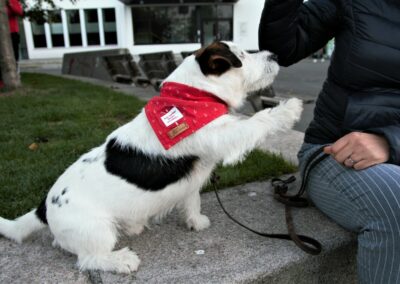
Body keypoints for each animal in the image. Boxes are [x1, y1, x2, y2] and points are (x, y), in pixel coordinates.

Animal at [0, 41, 300, 272]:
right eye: (242, 55)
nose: (275, 55)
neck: (194, 97)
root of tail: (44, 207)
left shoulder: (192, 180)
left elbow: (192, 200)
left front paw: (195, 222)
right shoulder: (227, 136)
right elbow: (257, 121)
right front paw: (289, 110)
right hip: (96, 230)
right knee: (89, 259)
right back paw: (121, 260)